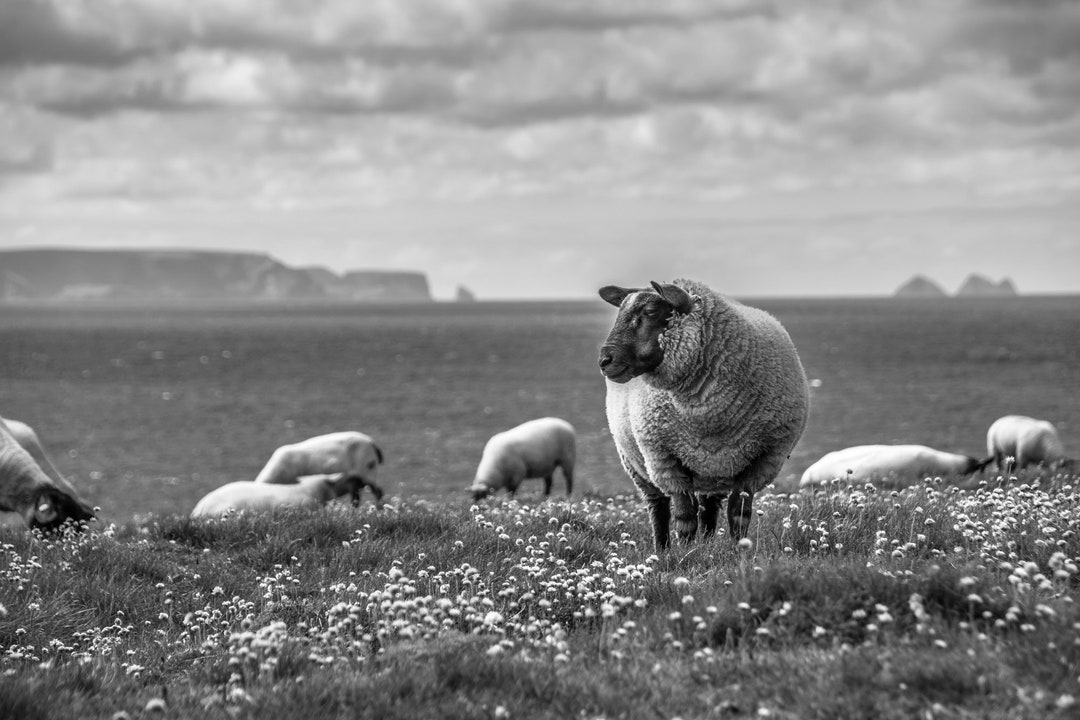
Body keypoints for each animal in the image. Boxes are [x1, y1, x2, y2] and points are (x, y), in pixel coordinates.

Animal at [254, 431, 385, 507]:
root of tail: (371, 442)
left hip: (367, 471)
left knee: (378, 493)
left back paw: (378, 510)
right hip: (354, 481)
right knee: (356, 499)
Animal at [598, 279, 810, 550]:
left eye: (651, 311)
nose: (604, 360)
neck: (710, 417)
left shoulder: (763, 460)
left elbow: (739, 513)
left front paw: (739, 550)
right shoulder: (665, 460)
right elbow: (685, 517)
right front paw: (687, 552)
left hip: (715, 469)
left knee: (709, 509)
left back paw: (707, 544)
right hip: (637, 463)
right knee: (658, 508)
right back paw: (663, 549)